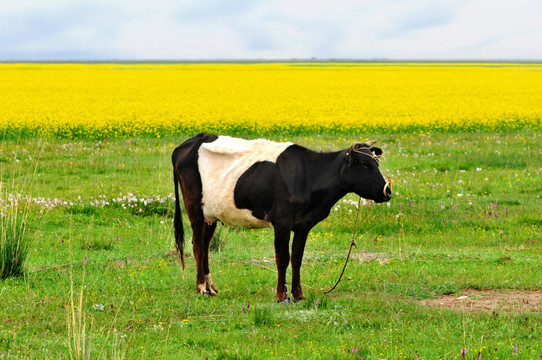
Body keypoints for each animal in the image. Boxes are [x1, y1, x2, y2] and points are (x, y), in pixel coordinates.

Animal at [172, 132, 394, 300]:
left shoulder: (304, 225)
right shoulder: (282, 222)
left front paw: (298, 294)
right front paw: (282, 295)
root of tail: (192, 141)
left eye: (376, 163)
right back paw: (201, 289)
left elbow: (297, 258)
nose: (387, 192)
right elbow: (282, 258)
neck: (309, 176)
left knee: (205, 245)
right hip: (194, 207)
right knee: (197, 244)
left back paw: (211, 288)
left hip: (211, 215)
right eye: (364, 165)